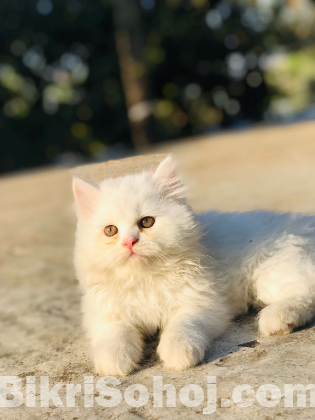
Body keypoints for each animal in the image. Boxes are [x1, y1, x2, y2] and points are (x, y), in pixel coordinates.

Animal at [73, 156, 315, 376]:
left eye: (147, 222)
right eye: (111, 231)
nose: (130, 242)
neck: (145, 278)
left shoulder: (202, 304)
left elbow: (182, 328)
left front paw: (178, 355)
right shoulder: (107, 315)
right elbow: (114, 337)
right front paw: (114, 363)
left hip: (269, 274)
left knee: (306, 290)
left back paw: (278, 319)